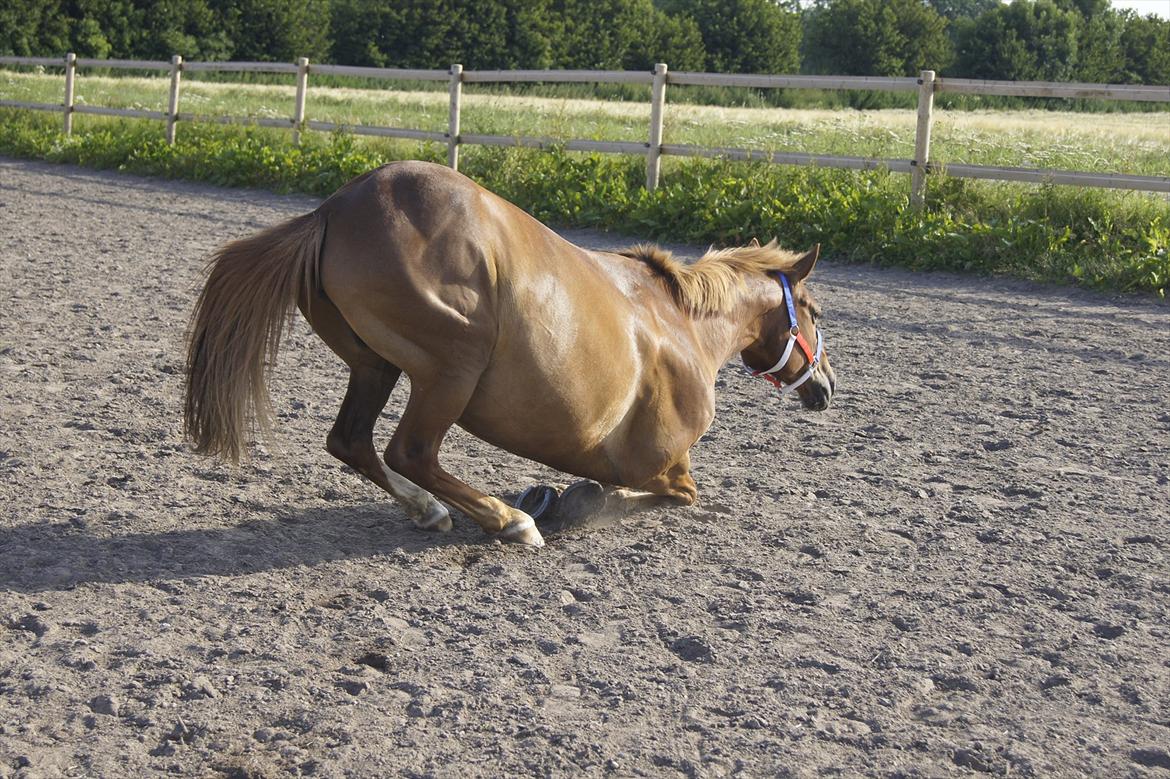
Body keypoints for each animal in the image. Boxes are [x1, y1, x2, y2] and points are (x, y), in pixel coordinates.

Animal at [184, 160, 833, 542]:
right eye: (818, 314)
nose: (827, 387)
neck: (682, 325)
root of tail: (331, 210)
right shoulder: (665, 464)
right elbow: (668, 495)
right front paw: (565, 500)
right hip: (451, 368)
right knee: (410, 451)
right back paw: (509, 520)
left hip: (375, 365)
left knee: (351, 442)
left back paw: (433, 511)